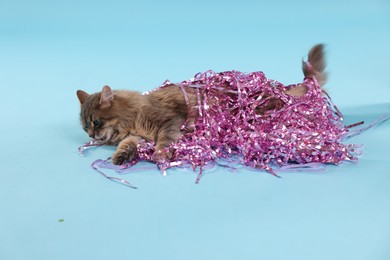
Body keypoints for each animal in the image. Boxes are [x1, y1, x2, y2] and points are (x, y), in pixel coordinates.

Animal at [76, 42, 326, 165]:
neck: (132, 118)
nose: (90, 135)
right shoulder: (137, 137)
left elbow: (164, 141)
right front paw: (120, 157)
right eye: (85, 126)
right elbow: (127, 146)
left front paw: (160, 155)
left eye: (96, 122)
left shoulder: (170, 121)